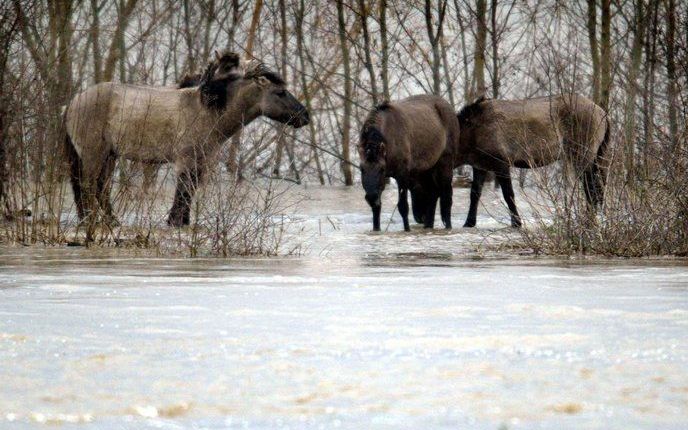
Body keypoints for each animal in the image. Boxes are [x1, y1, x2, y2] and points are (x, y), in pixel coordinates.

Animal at [63, 51, 310, 228]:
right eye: (280, 92)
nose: (305, 116)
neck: (207, 110)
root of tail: (73, 102)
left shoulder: (201, 161)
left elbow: (190, 190)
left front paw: (183, 221)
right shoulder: (186, 160)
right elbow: (183, 190)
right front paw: (175, 222)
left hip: (109, 155)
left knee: (100, 188)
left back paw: (110, 221)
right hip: (94, 154)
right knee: (88, 185)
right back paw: (91, 221)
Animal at [358, 95, 460, 232]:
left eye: (381, 169)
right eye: (361, 169)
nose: (371, 197)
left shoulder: (402, 175)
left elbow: (403, 207)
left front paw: (407, 229)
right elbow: (377, 209)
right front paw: (376, 229)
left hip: (445, 163)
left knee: (447, 197)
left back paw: (448, 226)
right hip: (426, 170)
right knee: (433, 194)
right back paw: (428, 226)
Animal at [454, 94, 612, 228]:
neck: (475, 129)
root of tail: (602, 113)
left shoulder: (501, 164)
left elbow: (508, 194)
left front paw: (517, 223)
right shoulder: (480, 166)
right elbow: (474, 194)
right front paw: (469, 222)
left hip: (582, 157)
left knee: (591, 188)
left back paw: (589, 221)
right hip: (597, 158)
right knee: (599, 188)